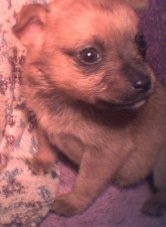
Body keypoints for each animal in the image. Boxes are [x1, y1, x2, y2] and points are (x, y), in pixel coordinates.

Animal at [12, 0, 166, 216]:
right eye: (90, 55)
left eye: (141, 43)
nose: (144, 83)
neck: (66, 102)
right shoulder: (42, 122)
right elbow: (45, 144)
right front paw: (44, 160)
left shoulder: (103, 154)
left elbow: (86, 182)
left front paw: (73, 202)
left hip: (161, 166)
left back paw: (155, 203)